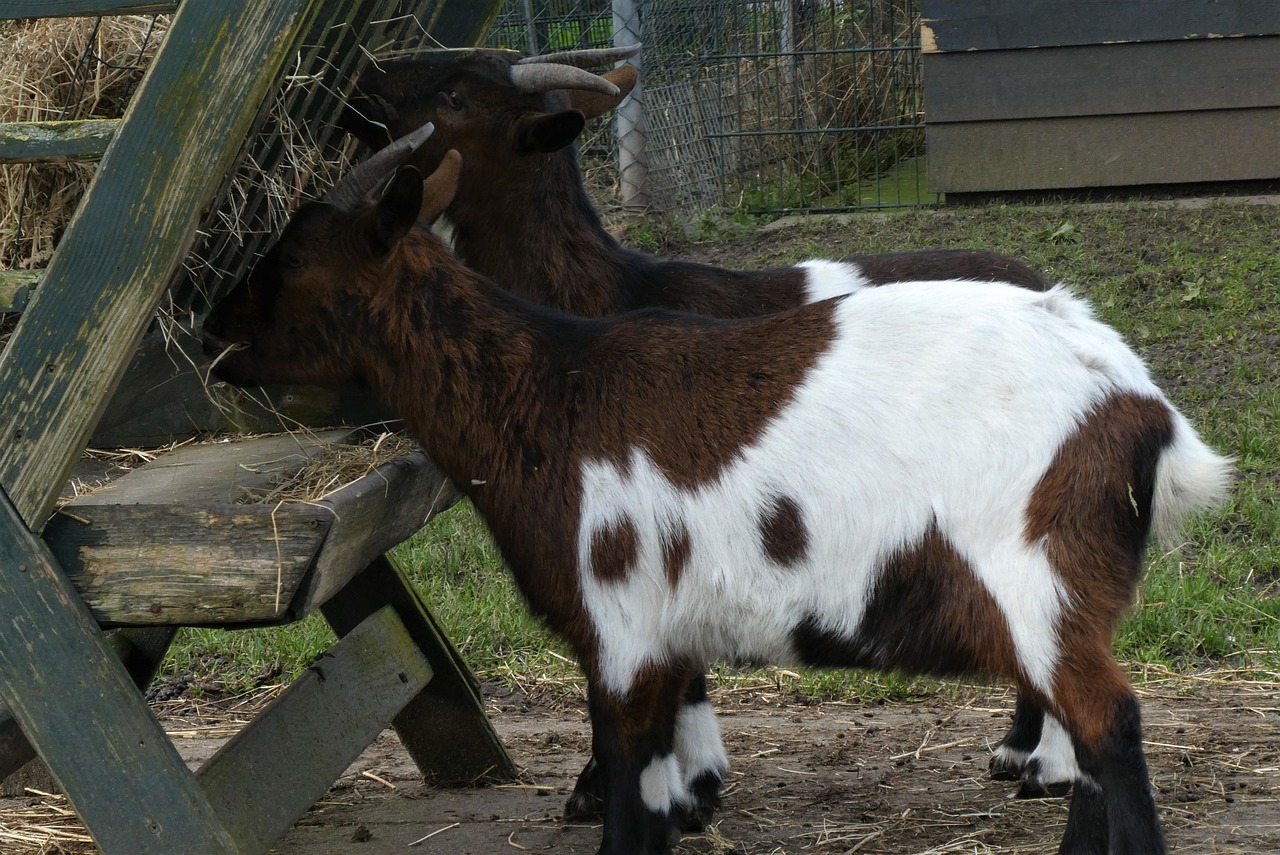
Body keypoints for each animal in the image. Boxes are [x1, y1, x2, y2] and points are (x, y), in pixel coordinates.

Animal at [207, 128, 1228, 855]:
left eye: (288, 261)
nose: (216, 332)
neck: (548, 392)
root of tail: (1141, 406)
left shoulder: (623, 634)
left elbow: (630, 808)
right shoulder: (663, 644)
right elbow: (661, 796)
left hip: (1038, 578)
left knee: (1110, 726)